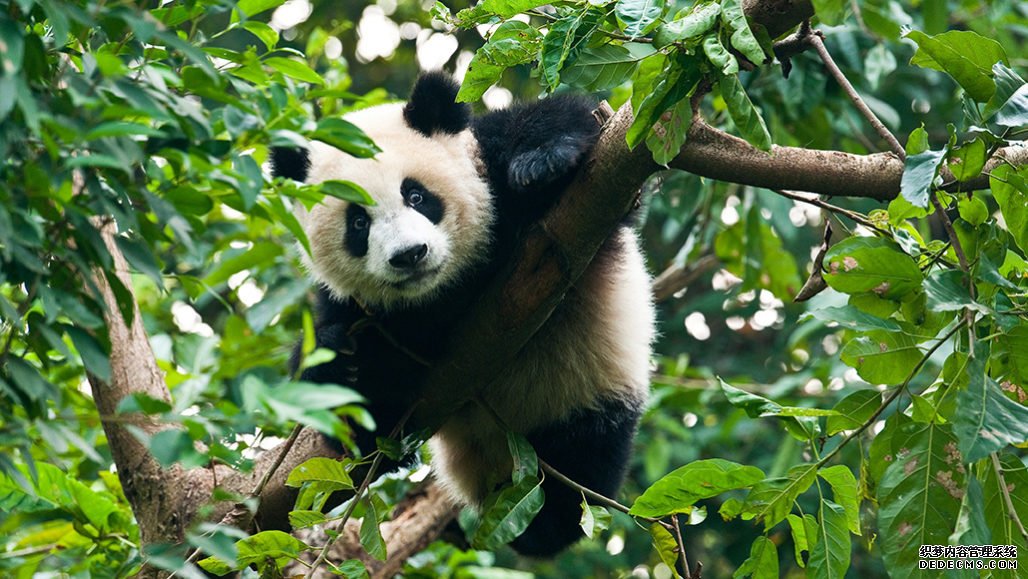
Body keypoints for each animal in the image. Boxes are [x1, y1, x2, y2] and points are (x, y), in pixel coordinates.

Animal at [273, 73, 653, 555]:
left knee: (576, 475)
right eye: (358, 223)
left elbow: (571, 126)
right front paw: (344, 360)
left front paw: (542, 160)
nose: (409, 255)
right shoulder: (356, 306)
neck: (447, 289)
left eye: (417, 195)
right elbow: (342, 383)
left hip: (586, 393)